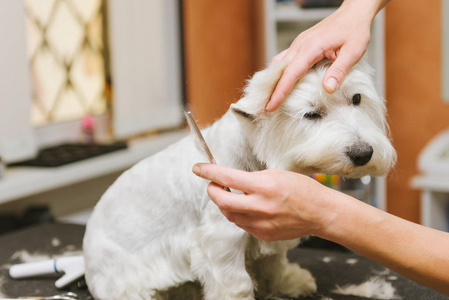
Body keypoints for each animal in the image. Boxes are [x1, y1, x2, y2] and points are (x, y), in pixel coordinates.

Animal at [83, 57, 396, 298]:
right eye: (311, 114)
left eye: (356, 98)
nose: (363, 153)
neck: (253, 157)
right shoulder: (221, 238)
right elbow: (236, 283)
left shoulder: (270, 227)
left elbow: (273, 262)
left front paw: (289, 282)